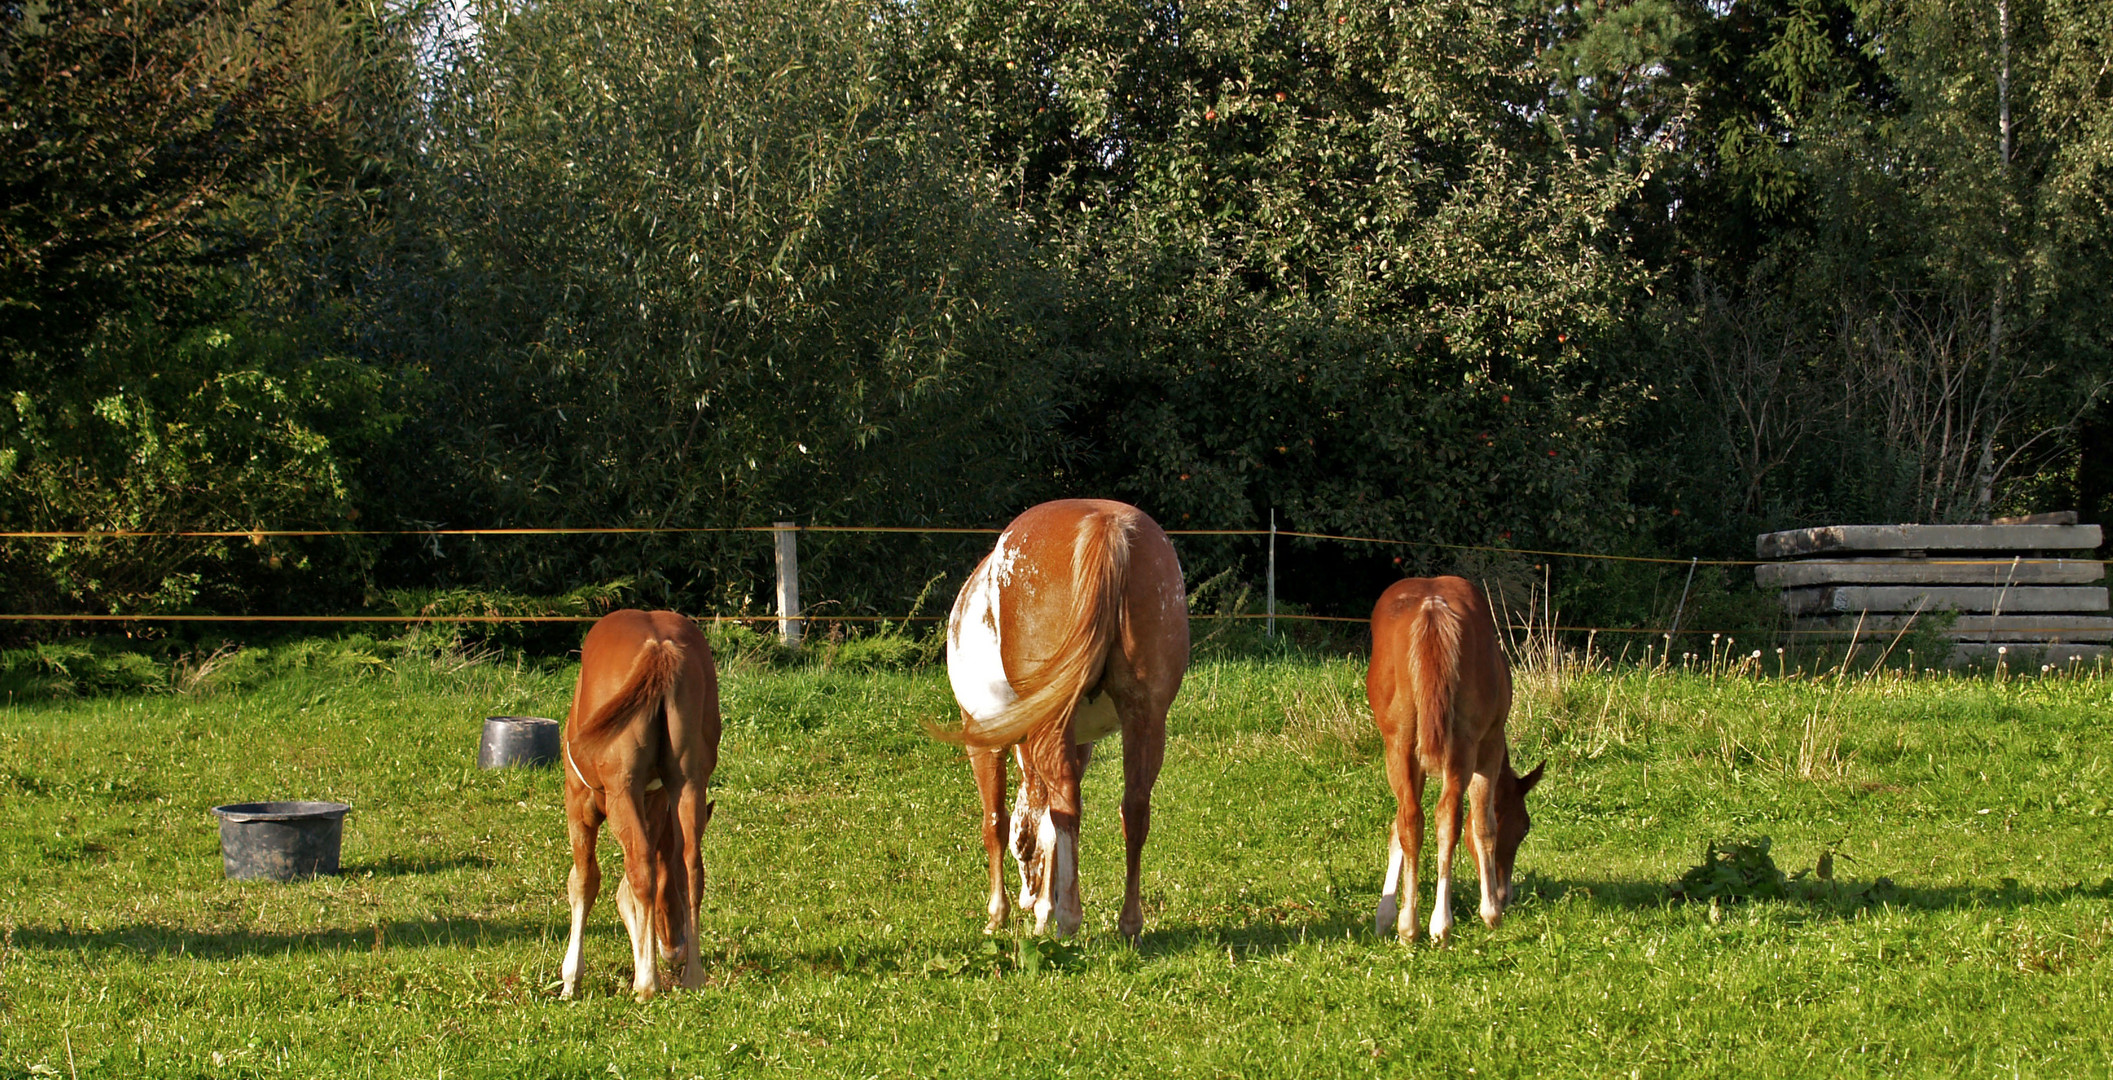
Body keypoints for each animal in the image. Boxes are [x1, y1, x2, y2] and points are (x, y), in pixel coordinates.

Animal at [557, 612, 722, 1001]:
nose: (674, 950)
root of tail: (659, 647)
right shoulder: (655, 808)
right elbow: (628, 894)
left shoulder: (581, 804)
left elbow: (585, 882)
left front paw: (571, 978)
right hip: (689, 784)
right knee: (692, 867)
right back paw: (693, 976)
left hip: (619, 792)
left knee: (640, 867)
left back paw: (647, 984)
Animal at [929, 498, 1183, 938]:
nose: (1027, 896)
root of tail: (1105, 524)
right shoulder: (1079, 743)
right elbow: (1046, 825)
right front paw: (1043, 909)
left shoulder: (983, 739)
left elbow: (997, 823)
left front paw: (1000, 914)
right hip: (1146, 717)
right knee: (1133, 806)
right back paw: (1128, 921)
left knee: (1067, 803)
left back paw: (1069, 918)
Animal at [1360, 579, 1546, 942]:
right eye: (1523, 828)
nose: (1505, 894)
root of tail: (1432, 607)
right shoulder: (1489, 748)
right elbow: (1484, 825)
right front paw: (1490, 911)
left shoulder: (1413, 758)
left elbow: (1398, 827)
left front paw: (1387, 913)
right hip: (1464, 746)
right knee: (1448, 816)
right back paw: (1440, 924)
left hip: (1399, 745)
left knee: (1411, 818)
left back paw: (1409, 926)